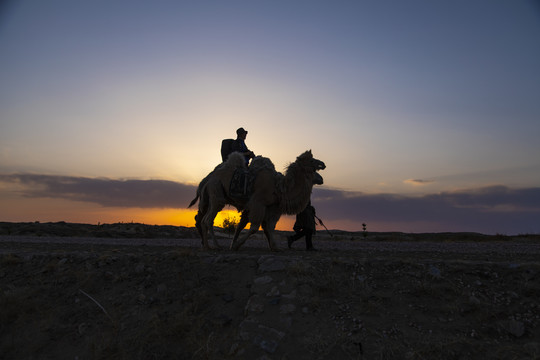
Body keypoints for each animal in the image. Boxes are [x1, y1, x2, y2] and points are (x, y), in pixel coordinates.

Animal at [189, 150, 324, 250]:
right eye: (312, 160)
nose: (323, 164)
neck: (279, 187)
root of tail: (207, 179)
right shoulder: (258, 203)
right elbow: (254, 227)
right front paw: (236, 245)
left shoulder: (271, 207)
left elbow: (269, 226)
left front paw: (275, 247)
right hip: (216, 194)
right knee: (207, 220)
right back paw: (213, 246)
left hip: (212, 198)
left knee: (205, 220)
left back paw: (209, 245)